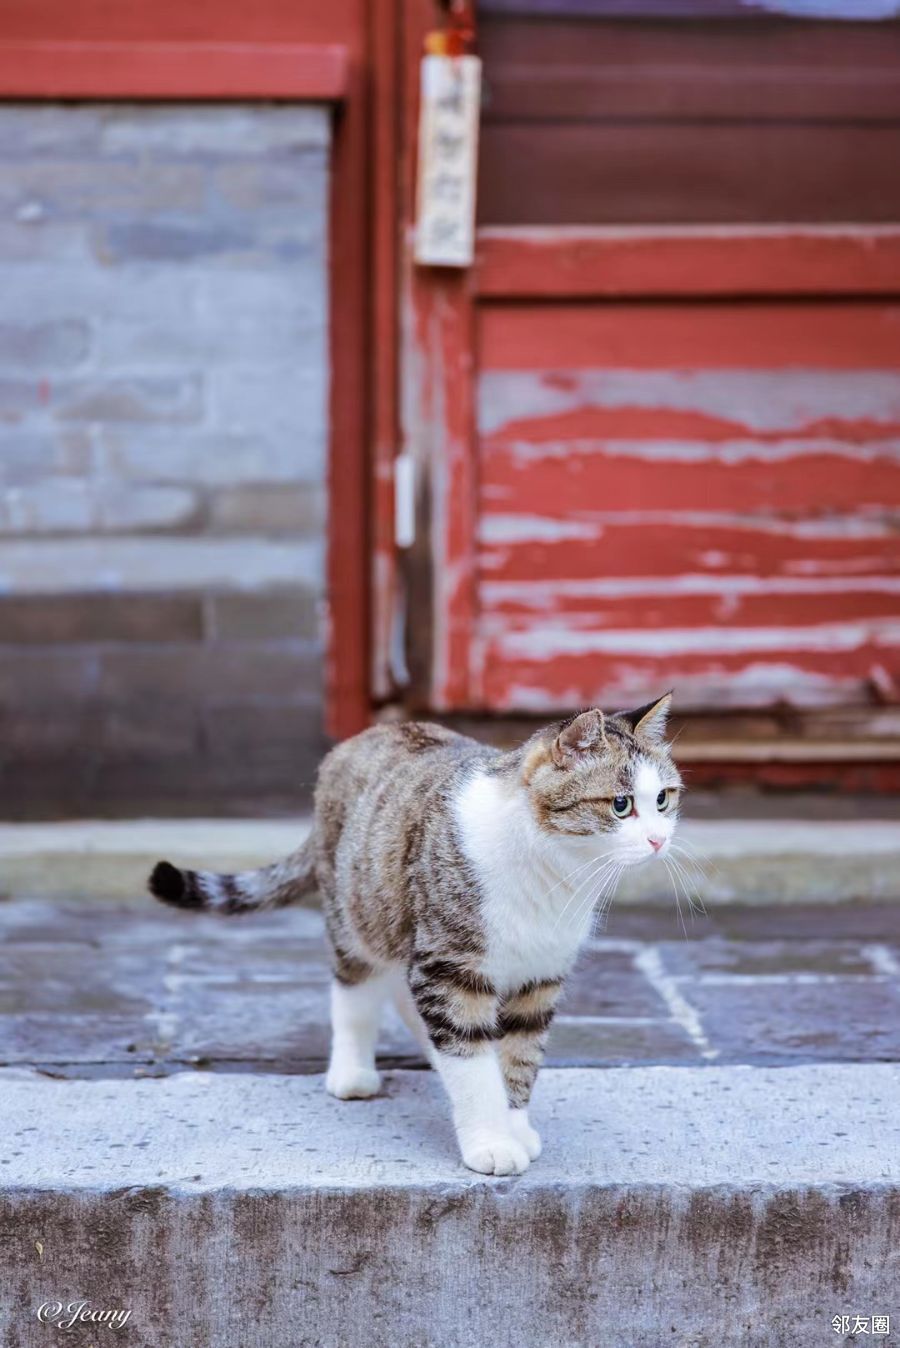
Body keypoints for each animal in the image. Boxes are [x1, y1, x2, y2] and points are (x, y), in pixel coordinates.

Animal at [147, 690, 681, 1175]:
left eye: (662, 799)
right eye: (620, 805)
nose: (659, 840)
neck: (551, 873)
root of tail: (367, 735)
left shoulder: (541, 976)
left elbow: (521, 1058)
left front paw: (515, 1125)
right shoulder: (450, 964)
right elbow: (471, 1061)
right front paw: (491, 1142)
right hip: (360, 914)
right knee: (356, 992)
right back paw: (353, 1071)